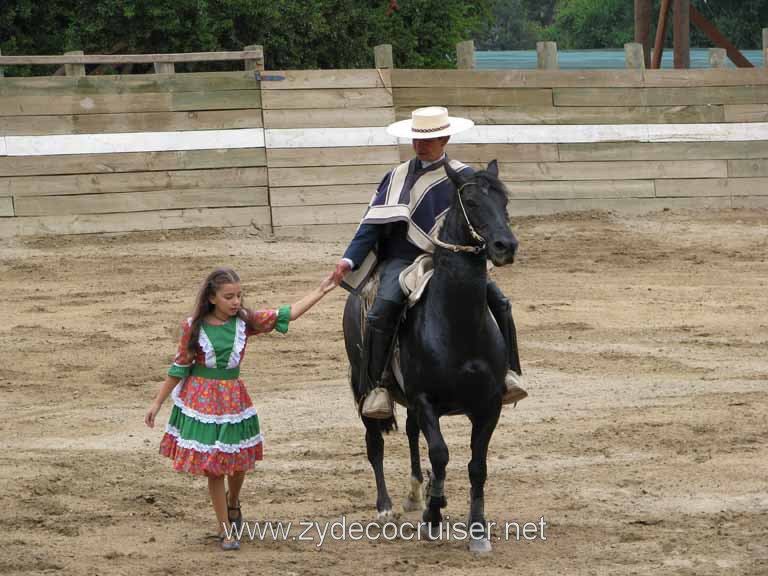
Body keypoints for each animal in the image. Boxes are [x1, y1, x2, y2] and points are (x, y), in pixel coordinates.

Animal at [342, 159, 516, 552]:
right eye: (471, 200)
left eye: (504, 199)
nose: (506, 245)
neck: (457, 324)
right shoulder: (425, 399)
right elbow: (440, 453)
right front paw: (433, 516)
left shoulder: (489, 406)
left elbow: (476, 466)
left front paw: (477, 529)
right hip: (363, 384)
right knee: (375, 443)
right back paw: (386, 506)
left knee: (410, 433)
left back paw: (415, 494)